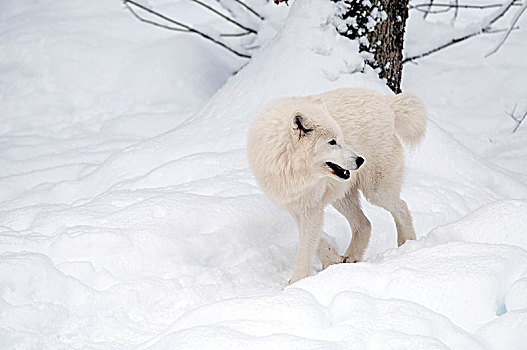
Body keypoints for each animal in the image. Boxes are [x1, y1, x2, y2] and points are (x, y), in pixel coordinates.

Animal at [249, 87, 428, 284]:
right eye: (332, 142)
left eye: (341, 139)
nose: (360, 160)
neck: (287, 162)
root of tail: (387, 102)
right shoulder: (296, 207)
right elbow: (315, 241)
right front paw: (332, 259)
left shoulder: (311, 208)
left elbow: (305, 247)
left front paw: (297, 282)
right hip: (342, 198)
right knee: (364, 223)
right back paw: (351, 258)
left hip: (377, 192)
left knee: (401, 207)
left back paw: (407, 244)